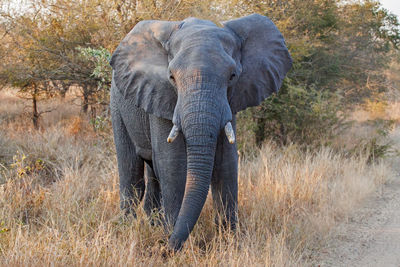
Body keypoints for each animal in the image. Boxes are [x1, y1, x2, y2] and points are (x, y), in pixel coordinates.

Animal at [108, 13, 290, 251]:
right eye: (171, 77)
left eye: (232, 76)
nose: (164, 249)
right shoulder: (161, 95)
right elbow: (173, 164)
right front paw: (173, 240)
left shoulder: (231, 101)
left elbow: (226, 163)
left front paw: (229, 243)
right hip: (117, 106)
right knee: (132, 175)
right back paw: (129, 227)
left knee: (152, 175)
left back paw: (153, 224)